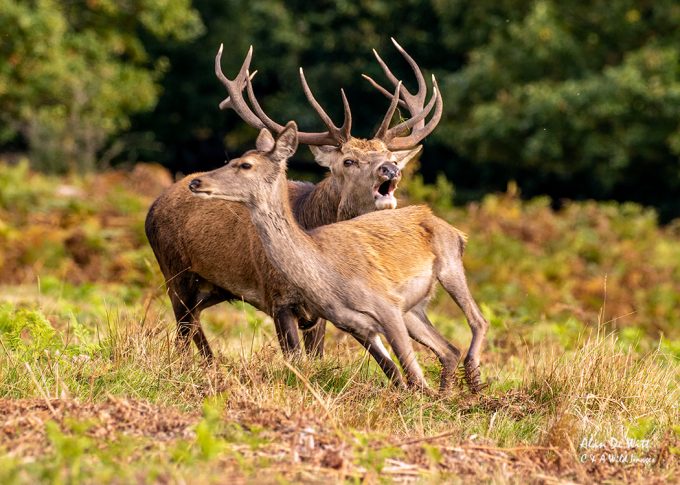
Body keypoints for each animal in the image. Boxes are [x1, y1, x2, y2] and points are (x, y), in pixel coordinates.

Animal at [145, 39, 443, 361]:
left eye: (391, 157)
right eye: (348, 161)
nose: (390, 169)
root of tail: (153, 206)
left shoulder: (322, 310)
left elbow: (316, 356)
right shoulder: (278, 299)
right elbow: (294, 359)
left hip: (207, 288)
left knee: (195, 329)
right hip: (175, 274)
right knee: (183, 332)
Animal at [188, 122, 489, 393]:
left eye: (246, 164)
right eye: (231, 159)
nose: (196, 180)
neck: (327, 276)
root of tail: (452, 227)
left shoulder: (386, 305)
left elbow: (413, 375)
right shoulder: (355, 323)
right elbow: (401, 375)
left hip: (450, 263)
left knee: (478, 320)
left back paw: (474, 379)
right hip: (414, 309)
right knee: (449, 349)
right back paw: (452, 391)